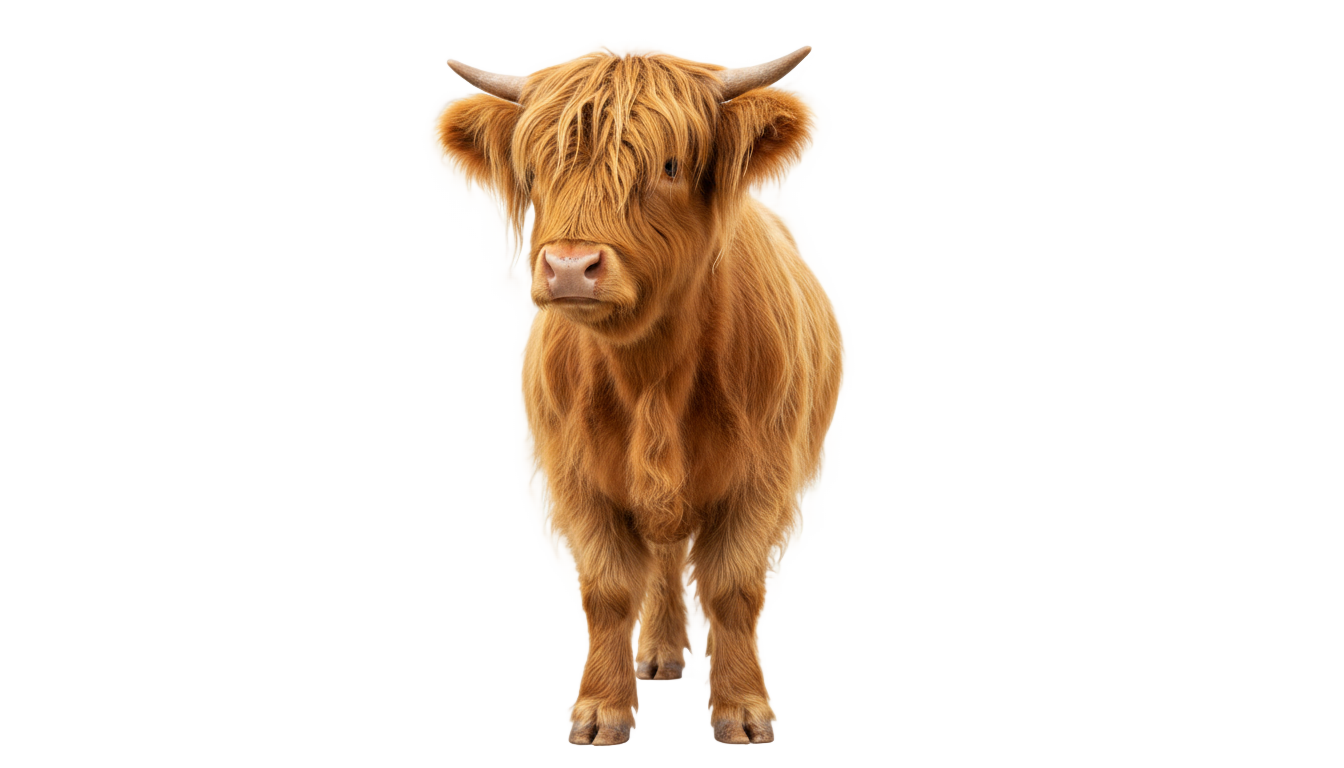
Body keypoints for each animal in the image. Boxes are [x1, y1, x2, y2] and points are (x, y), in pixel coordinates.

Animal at [436, 45, 841, 745]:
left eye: (671, 165)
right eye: (535, 168)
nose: (570, 266)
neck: (652, 377)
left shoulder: (762, 477)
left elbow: (733, 588)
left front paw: (742, 709)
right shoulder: (578, 479)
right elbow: (608, 591)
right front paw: (602, 710)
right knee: (663, 562)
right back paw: (660, 652)